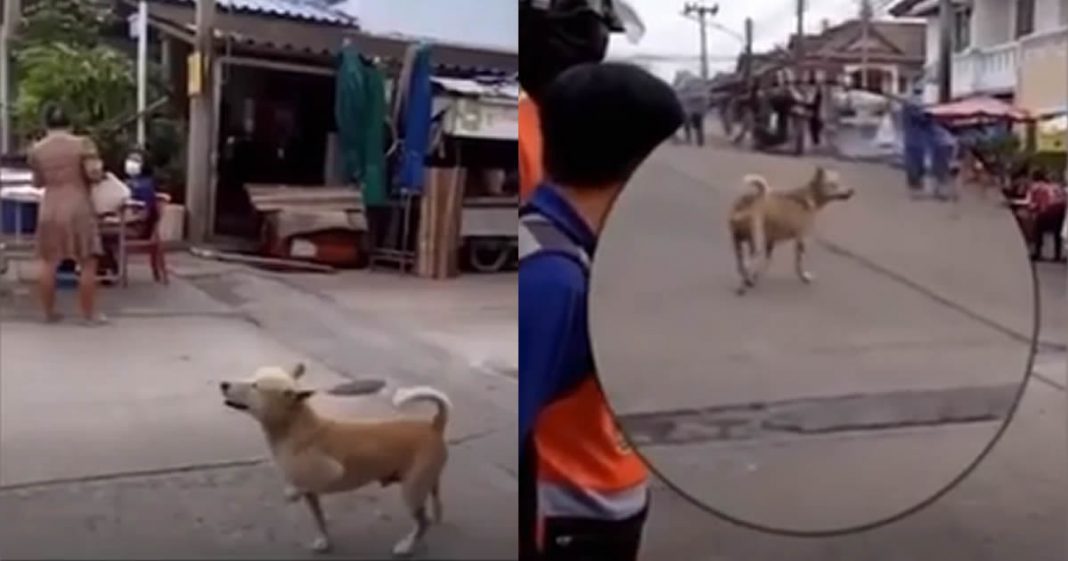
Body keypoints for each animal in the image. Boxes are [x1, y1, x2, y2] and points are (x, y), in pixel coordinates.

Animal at [218, 363, 452, 555]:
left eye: (255, 386)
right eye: (251, 377)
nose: (223, 383)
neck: (295, 427)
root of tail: (434, 426)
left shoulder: (326, 474)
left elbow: (305, 491)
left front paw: (293, 494)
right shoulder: (312, 495)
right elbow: (319, 518)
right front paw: (324, 539)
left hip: (411, 491)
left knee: (422, 522)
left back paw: (407, 545)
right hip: (424, 481)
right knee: (435, 500)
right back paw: (437, 515)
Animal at [726, 166, 850, 294]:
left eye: (839, 183)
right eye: (834, 185)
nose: (851, 191)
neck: (810, 197)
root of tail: (746, 204)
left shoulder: (770, 241)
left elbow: (766, 262)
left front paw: (755, 277)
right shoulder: (801, 240)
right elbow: (799, 263)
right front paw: (804, 277)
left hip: (738, 241)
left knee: (740, 265)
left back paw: (747, 280)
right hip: (756, 243)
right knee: (746, 264)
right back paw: (743, 286)